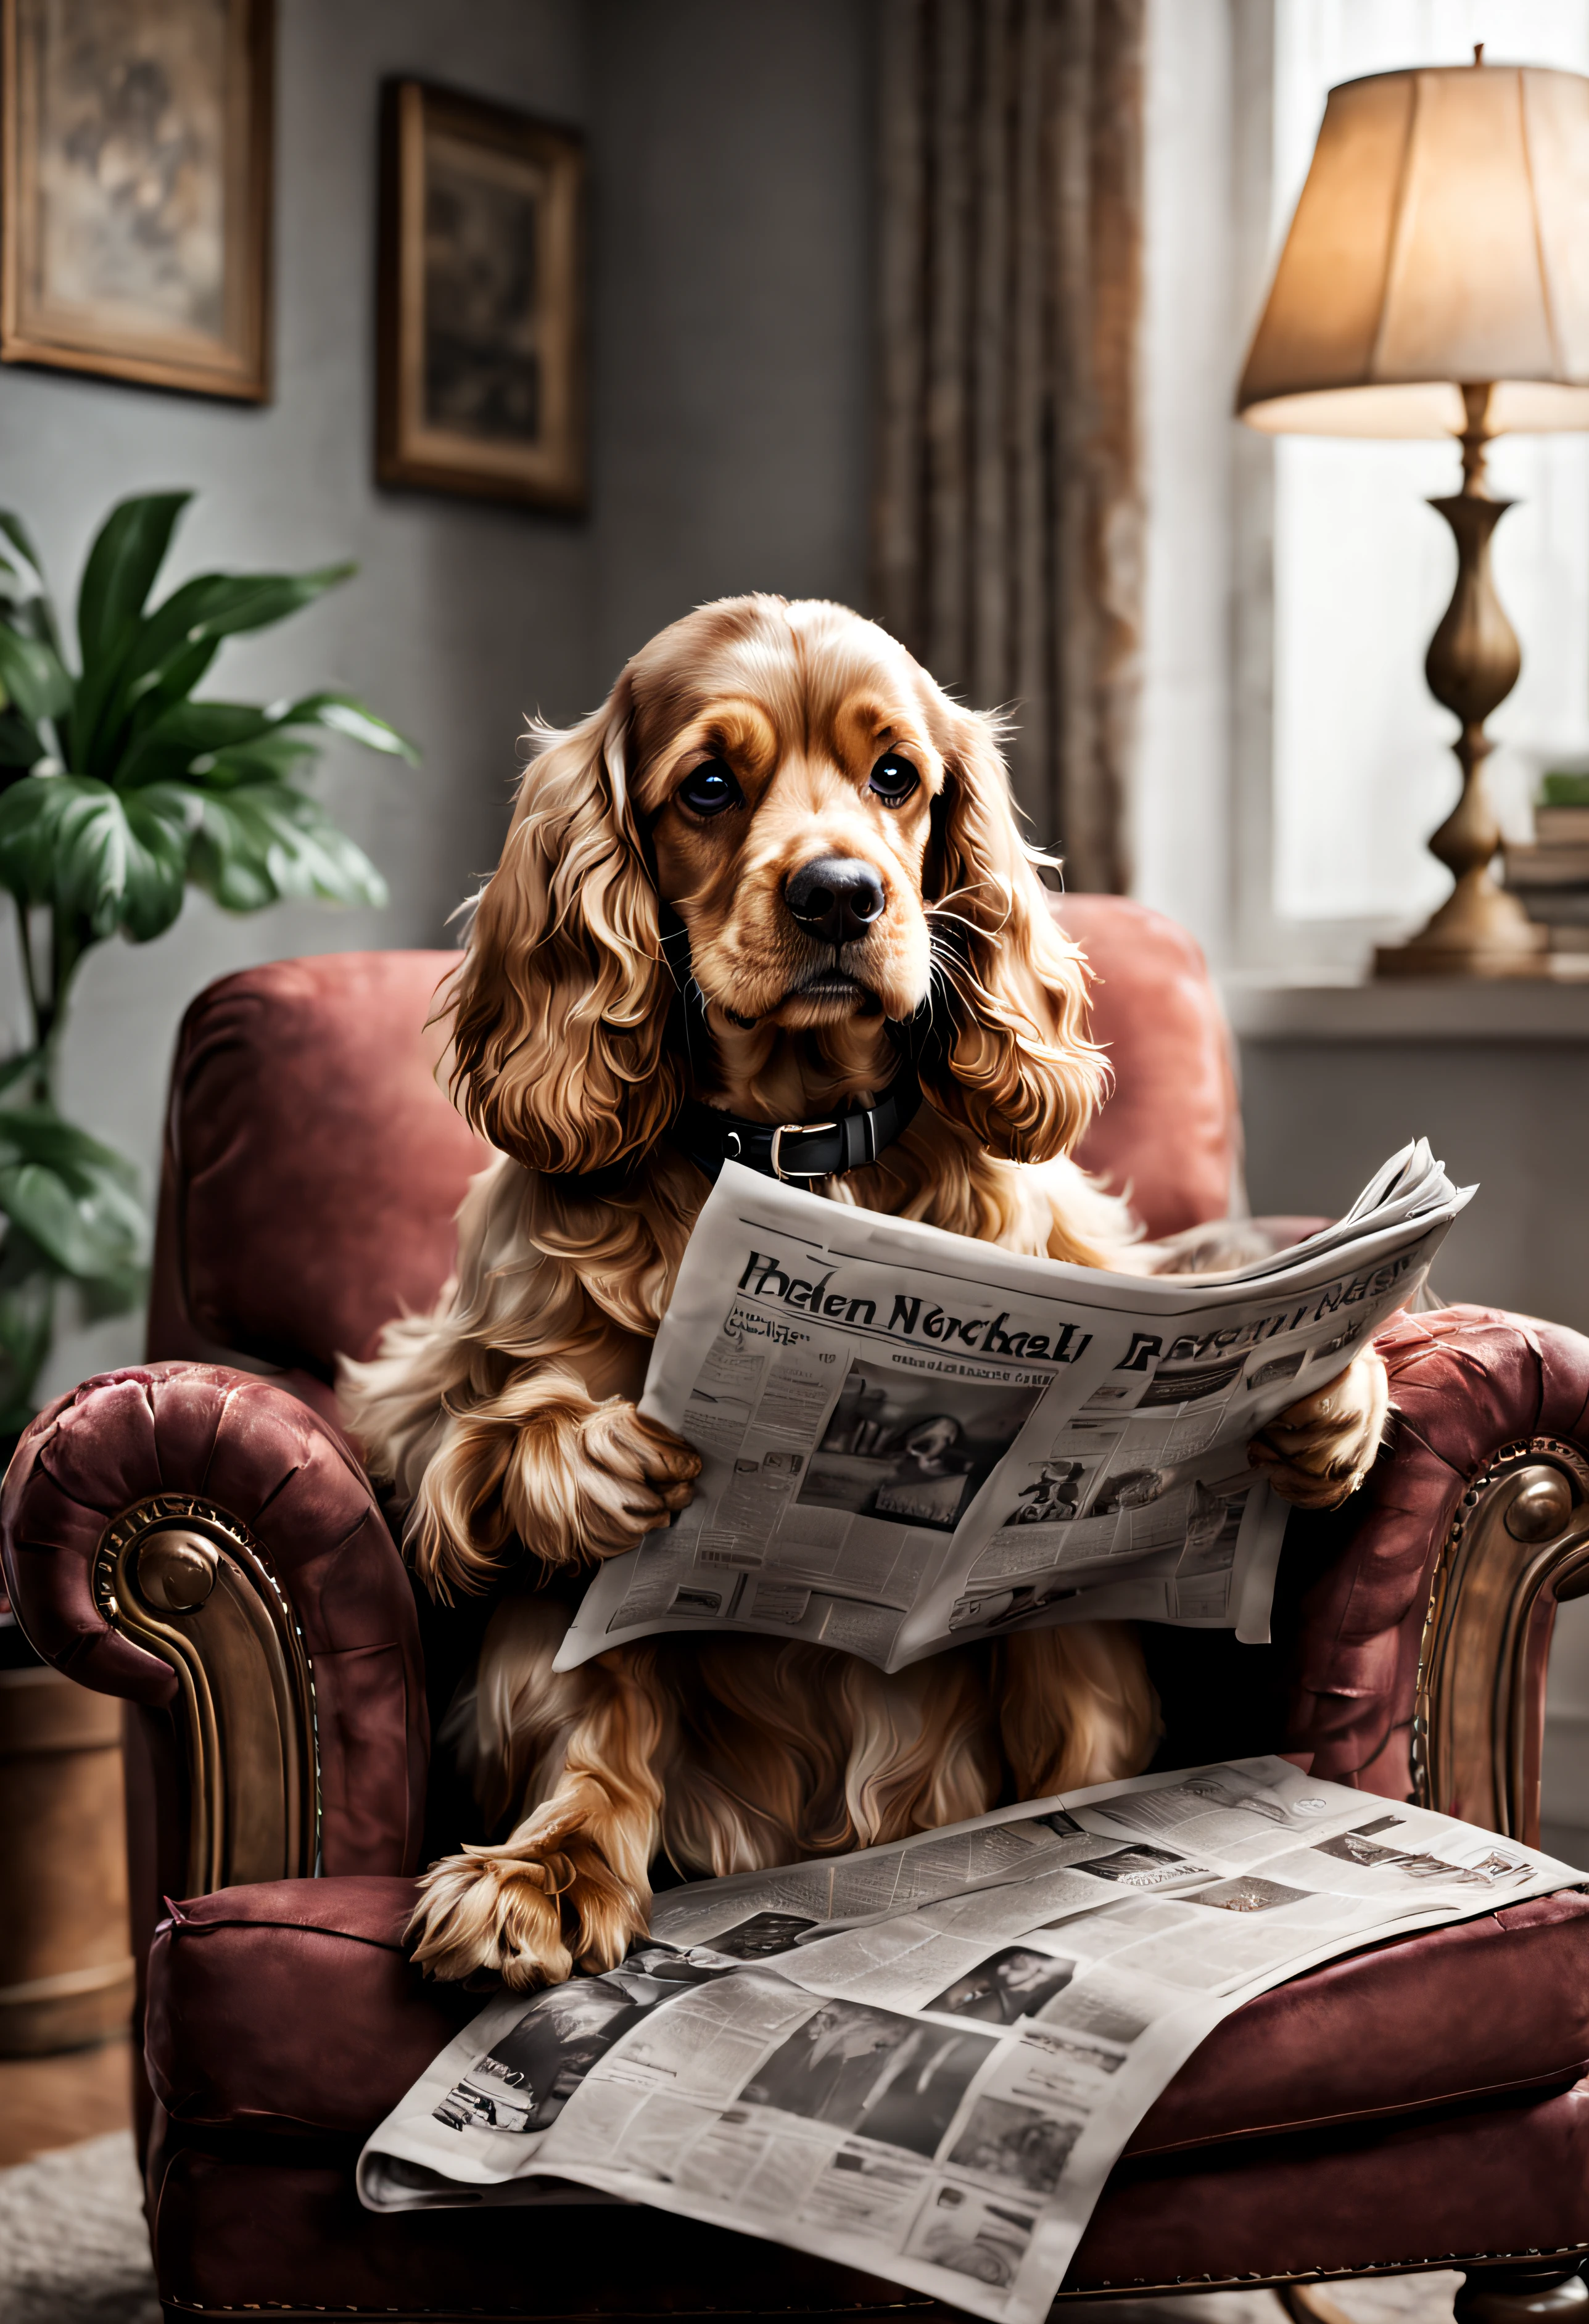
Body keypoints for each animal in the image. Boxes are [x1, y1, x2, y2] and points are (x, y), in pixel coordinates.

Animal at [339, 600, 1393, 1998]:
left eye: (897, 775)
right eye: (708, 786)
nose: (840, 893)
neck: (803, 1144)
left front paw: (1332, 1401)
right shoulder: (428, 1387)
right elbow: (484, 1458)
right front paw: (590, 1461)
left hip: (1059, 1639)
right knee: (593, 1705)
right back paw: (544, 1872)